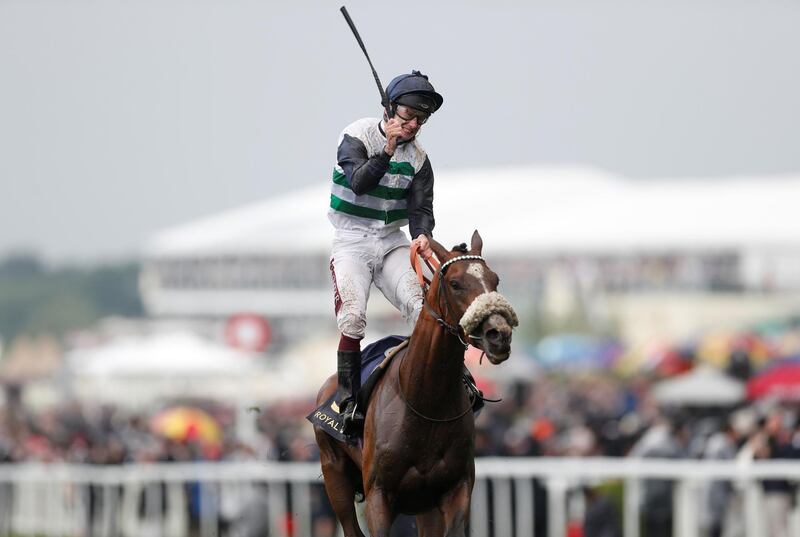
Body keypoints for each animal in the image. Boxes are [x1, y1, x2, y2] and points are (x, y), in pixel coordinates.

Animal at [310, 231, 516, 536]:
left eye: (495, 280)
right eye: (455, 283)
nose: (499, 334)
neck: (425, 400)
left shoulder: (456, 490)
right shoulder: (378, 496)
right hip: (335, 474)